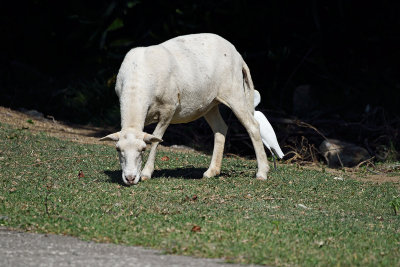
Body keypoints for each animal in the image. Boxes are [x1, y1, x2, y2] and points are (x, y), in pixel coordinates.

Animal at [100, 33, 282, 185]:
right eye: (118, 149)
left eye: (142, 150)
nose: (130, 178)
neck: (137, 84)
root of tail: (238, 55)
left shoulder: (169, 108)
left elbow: (156, 139)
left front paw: (146, 173)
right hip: (211, 103)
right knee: (220, 129)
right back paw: (211, 171)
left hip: (234, 91)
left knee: (253, 126)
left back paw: (262, 173)